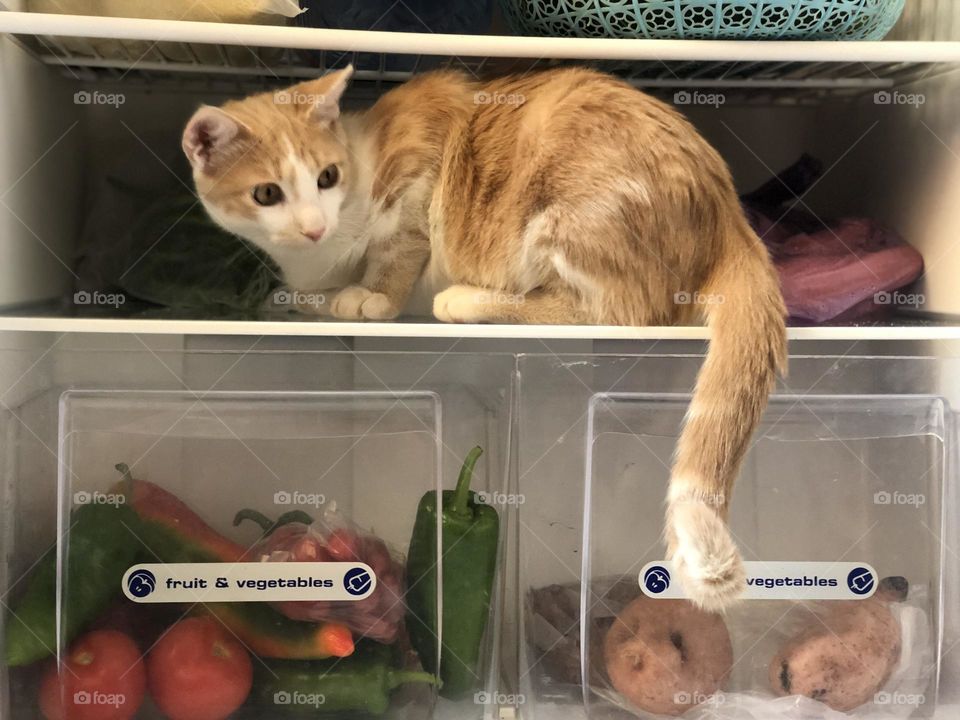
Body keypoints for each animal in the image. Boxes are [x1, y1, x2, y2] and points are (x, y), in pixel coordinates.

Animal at [184, 64, 784, 612]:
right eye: (267, 193)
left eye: (327, 177)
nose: (312, 226)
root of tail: (727, 206)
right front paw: (293, 298)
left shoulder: (418, 165)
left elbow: (398, 249)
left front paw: (370, 296)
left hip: (568, 220)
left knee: (612, 311)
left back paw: (463, 299)